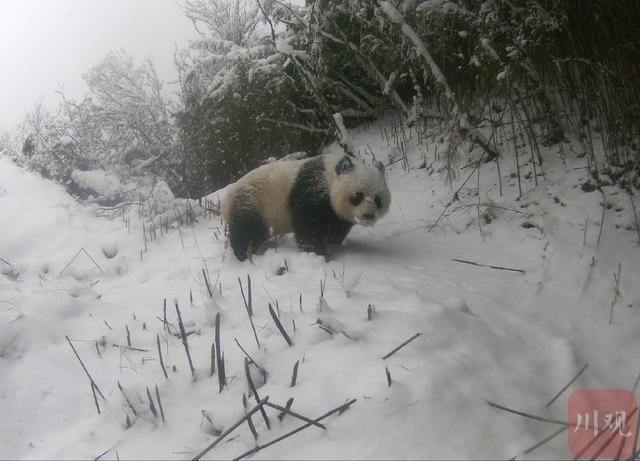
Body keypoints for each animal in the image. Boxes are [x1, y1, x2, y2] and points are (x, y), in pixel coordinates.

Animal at [220, 150, 390, 260]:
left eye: (378, 199)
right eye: (357, 197)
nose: (368, 216)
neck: (329, 175)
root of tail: (227, 198)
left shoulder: (336, 213)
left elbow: (337, 227)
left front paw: (332, 244)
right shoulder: (313, 190)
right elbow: (309, 226)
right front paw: (316, 253)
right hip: (252, 201)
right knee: (247, 231)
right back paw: (244, 255)